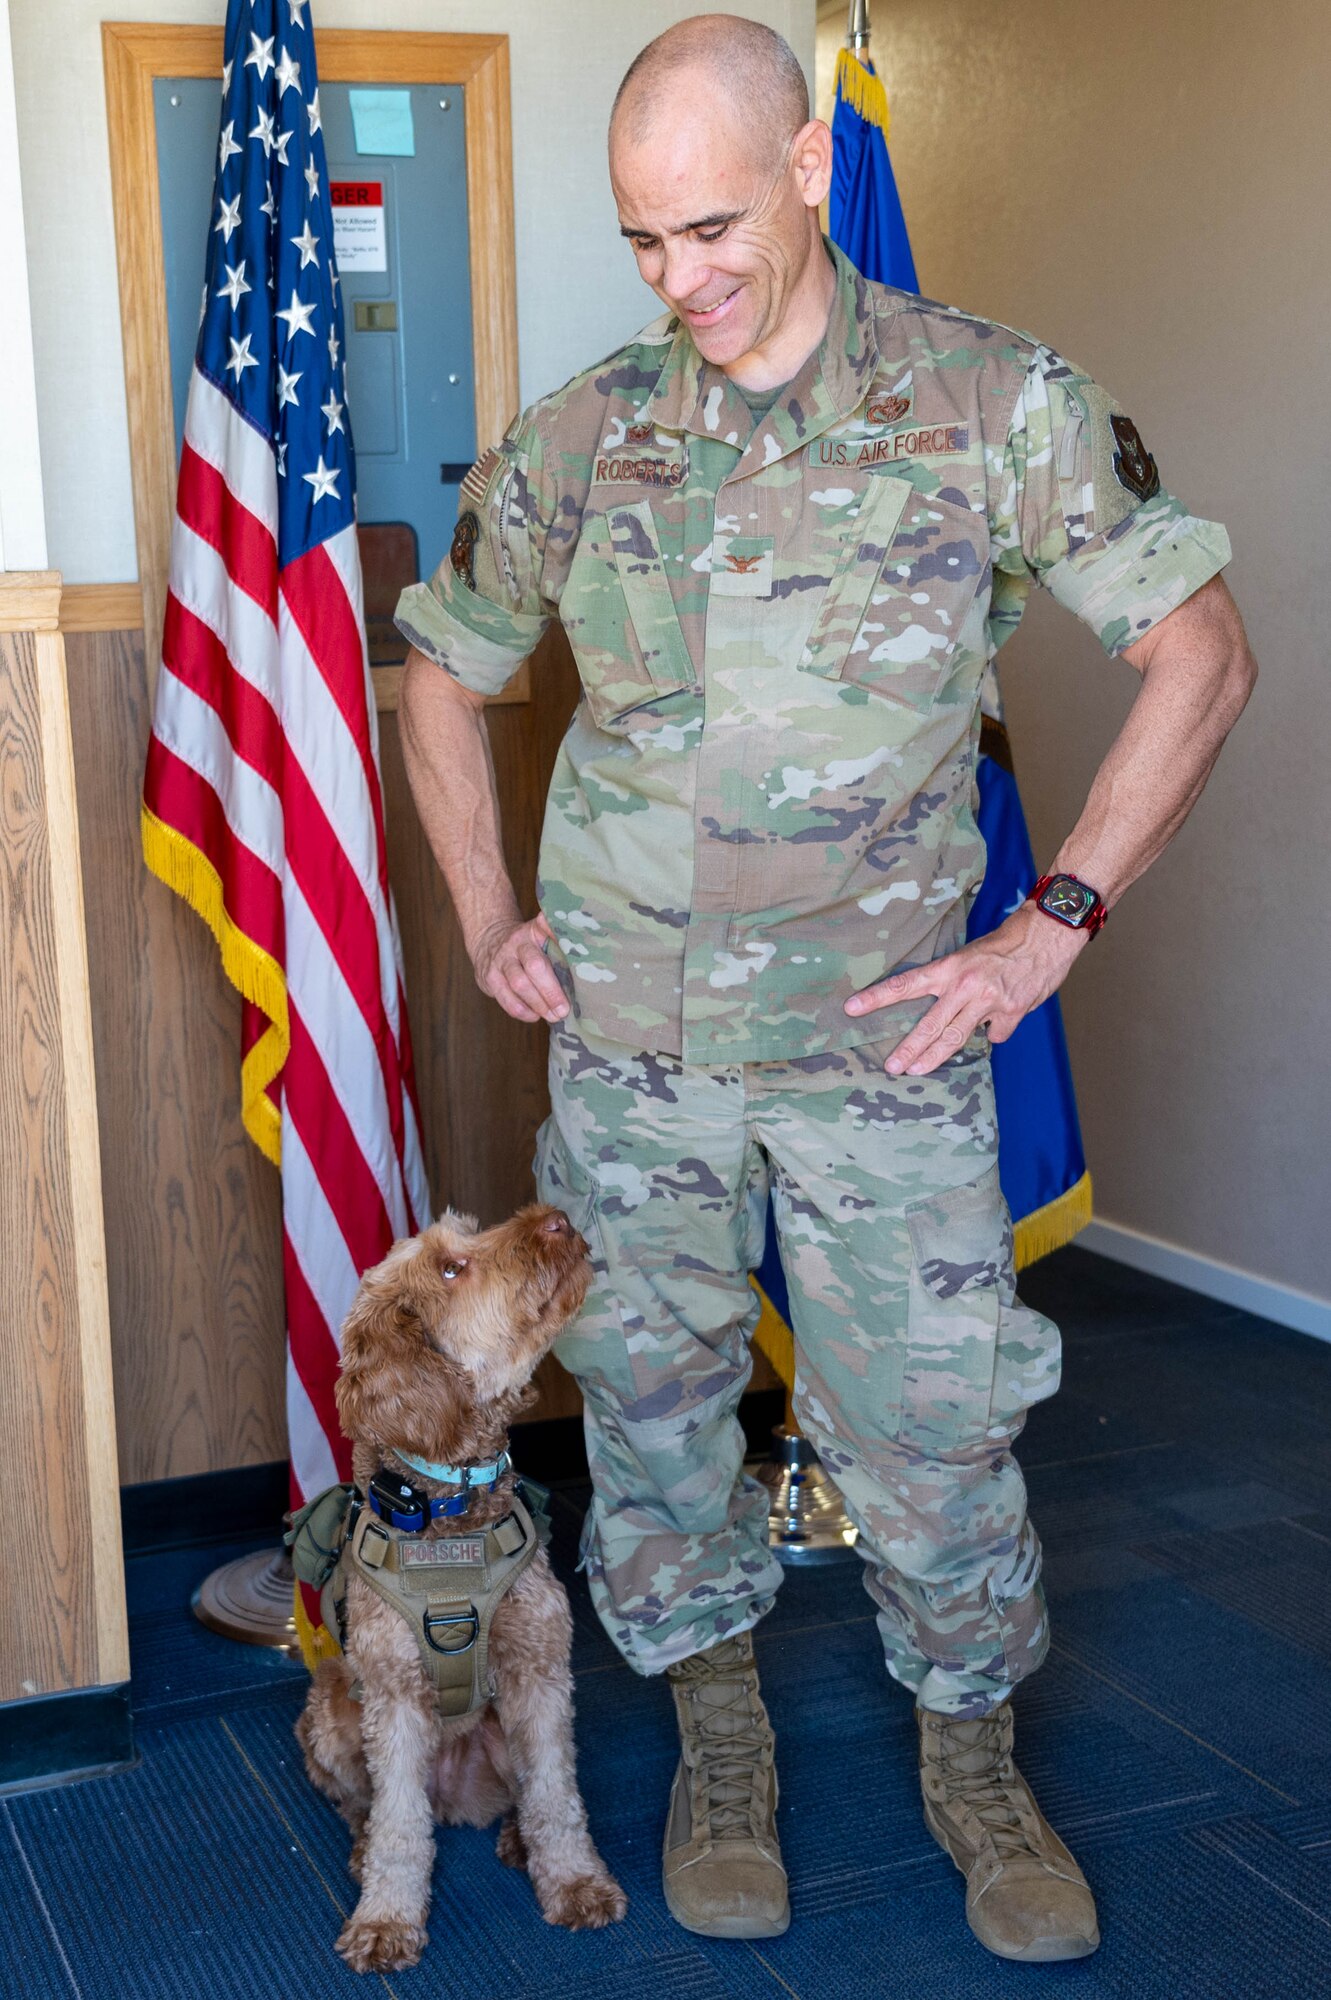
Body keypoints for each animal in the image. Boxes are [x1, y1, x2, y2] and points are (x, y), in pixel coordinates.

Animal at [293, 1200, 623, 1968]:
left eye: (469, 1236)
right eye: (451, 1268)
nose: (555, 1216)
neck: (450, 1506)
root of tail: (455, 1796)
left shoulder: (539, 1674)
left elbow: (555, 1797)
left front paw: (574, 1882)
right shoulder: (393, 1700)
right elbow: (398, 1826)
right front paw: (385, 1919)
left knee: (523, 1795)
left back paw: (516, 1839)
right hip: (329, 1712)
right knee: (367, 1808)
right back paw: (362, 1852)